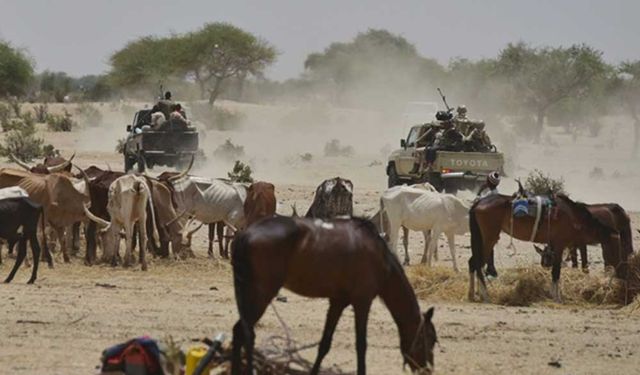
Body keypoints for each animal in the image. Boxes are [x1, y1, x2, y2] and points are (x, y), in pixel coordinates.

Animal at [229, 216, 436, 375]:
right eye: (430, 339)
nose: (426, 369)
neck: (379, 257)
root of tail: (245, 235)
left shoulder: (338, 302)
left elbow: (324, 344)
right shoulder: (362, 301)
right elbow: (361, 345)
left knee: (240, 333)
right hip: (261, 294)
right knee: (245, 333)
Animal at [468, 195, 624, 304]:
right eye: (616, 247)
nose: (619, 266)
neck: (573, 217)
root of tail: (478, 203)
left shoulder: (554, 246)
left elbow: (554, 270)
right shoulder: (560, 245)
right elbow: (556, 272)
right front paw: (557, 297)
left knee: (473, 263)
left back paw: (473, 295)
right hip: (489, 238)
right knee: (478, 263)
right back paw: (485, 296)